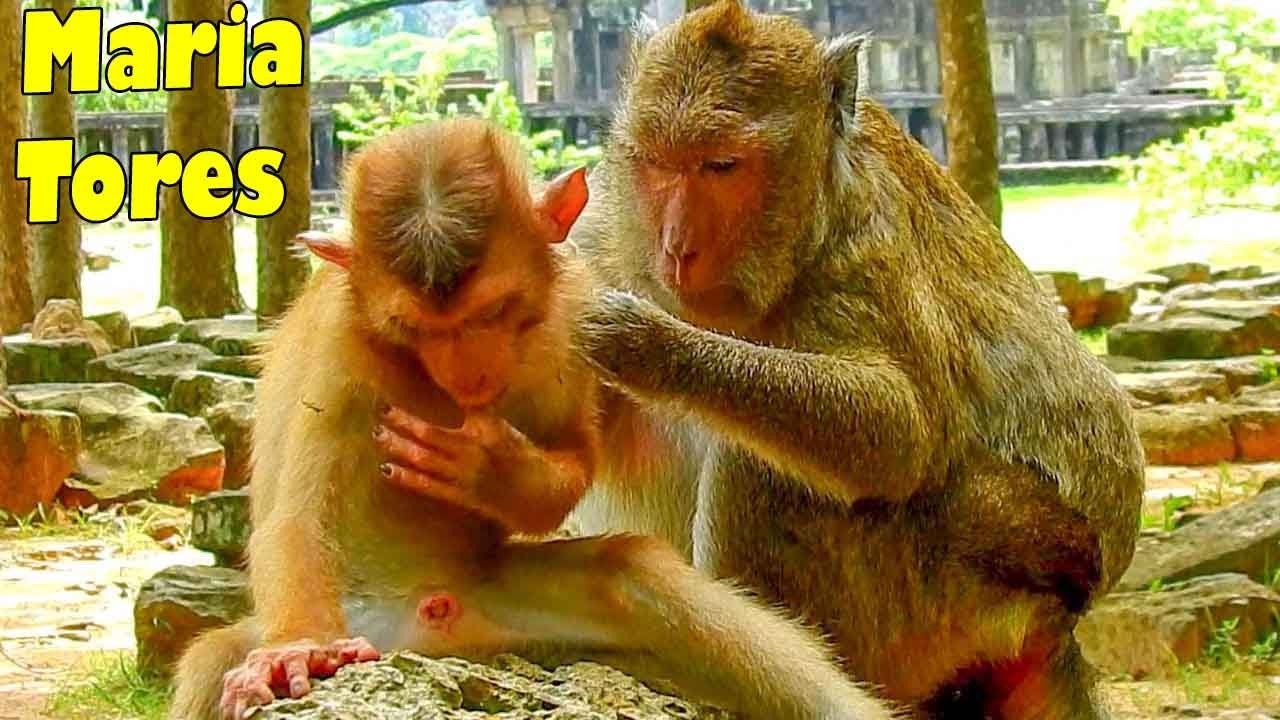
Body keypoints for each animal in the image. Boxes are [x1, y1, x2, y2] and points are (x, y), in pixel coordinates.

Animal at [169, 118, 894, 720]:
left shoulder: (579, 318)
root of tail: (417, 633)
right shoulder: (341, 344)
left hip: (504, 610)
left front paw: (492, 470)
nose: (468, 376)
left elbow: (573, 459)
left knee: (631, 575)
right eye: (414, 328)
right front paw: (298, 650)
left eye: (493, 311)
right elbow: (298, 517)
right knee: (213, 659)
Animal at [379, 4, 1145, 719]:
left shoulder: (863, 238)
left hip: (958, 592)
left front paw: (642, 341)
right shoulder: (606, 224)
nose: (676, 246)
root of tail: (1060, 617)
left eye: (722, 167)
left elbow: (902, 428)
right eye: (656, 162)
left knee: (767, 466)